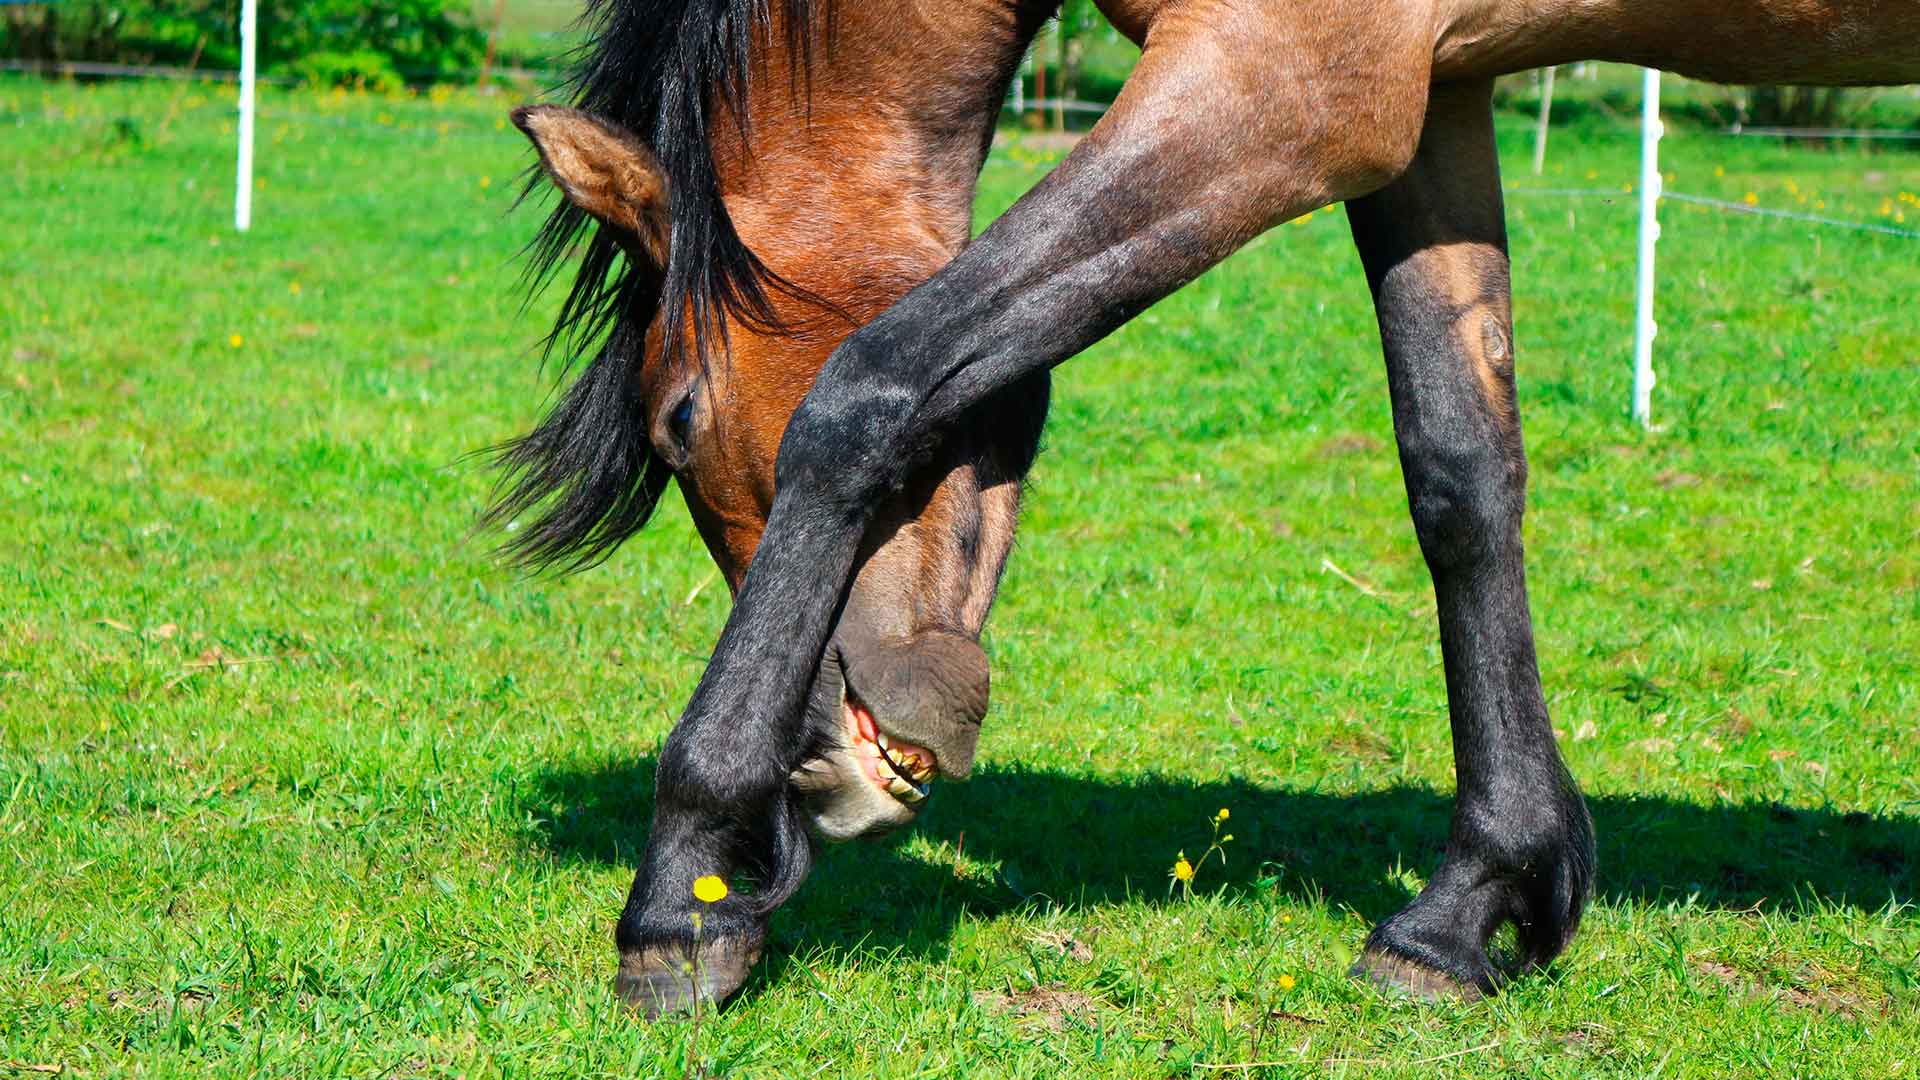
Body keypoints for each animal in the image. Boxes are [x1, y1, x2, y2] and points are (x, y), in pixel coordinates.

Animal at [495, 0, 1920, 1014]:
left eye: (679, 419)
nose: (816, 768)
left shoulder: (1282, 83)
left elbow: (872, 389)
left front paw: (685, 890)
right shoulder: (1431, 95)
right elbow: (1461, 473)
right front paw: (1474, 903)